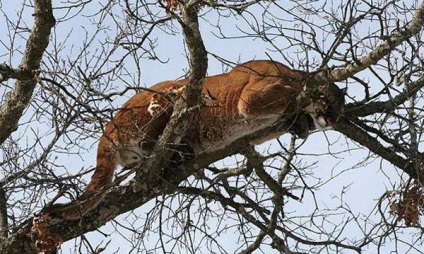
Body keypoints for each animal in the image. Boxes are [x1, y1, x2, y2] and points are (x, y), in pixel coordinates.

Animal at [43, 60, 346, 220]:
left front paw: (301, 126)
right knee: (153, 141)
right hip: (170, 94)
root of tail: (107, 132)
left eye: (340, 110)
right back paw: (179, 151)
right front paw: (302, 106)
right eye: (330, 102)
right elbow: (289, 94)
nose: (332, 120)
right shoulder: (250, 99)